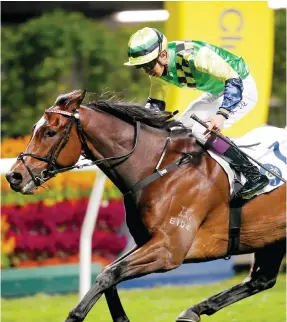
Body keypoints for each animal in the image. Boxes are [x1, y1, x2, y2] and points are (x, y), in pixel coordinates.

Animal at [6, 88, 286, 322]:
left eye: (50, 132)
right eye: (36, 128)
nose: (14, 176)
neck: (159, 168)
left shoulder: (169, 250)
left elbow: (107, 275)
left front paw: (75, 315)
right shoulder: (147, 242)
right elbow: (109, 273)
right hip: (270, 237)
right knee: (261, 280)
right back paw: (192, 312)